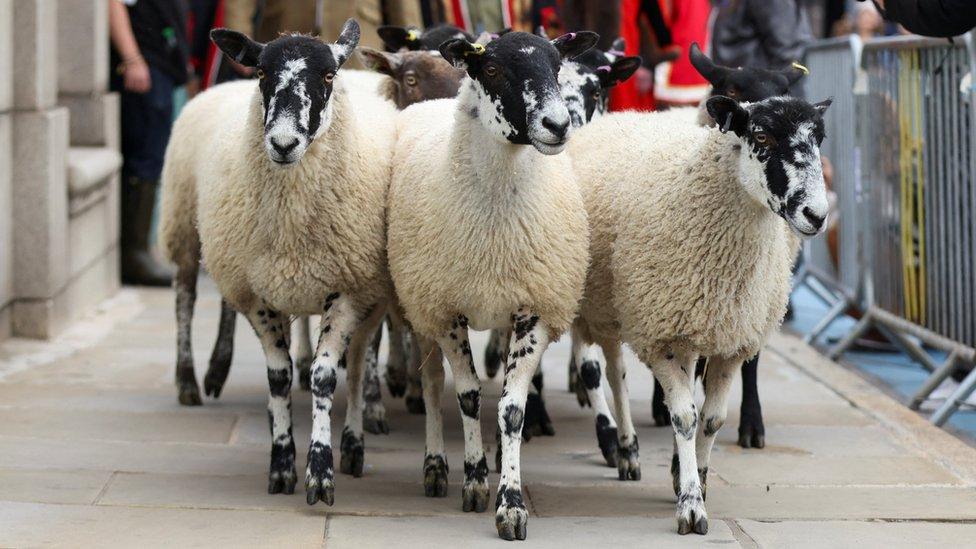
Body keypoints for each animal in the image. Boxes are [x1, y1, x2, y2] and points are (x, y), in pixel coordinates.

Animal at [166, 20, 394, 506]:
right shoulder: (257, 292)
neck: (291, 224)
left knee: (360, 359)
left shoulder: (347, 288)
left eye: (328, 76)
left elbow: (326, 376)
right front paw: (282, 463)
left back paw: (354, 444)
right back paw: (191, 380)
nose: (284, 144)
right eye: (262, 73)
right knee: (186, 297)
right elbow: (278, 377)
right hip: (188, 229)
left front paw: (320, 472)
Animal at [386, 30, 600, 540]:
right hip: (419, 303)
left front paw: (511, 503)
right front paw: (475, 482)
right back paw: (436, 466)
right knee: (430, 384)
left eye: (557, 64)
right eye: (494, 69)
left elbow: (511, 409)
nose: (557, 124)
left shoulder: (532, 309)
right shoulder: (447, 311)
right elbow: (465, 397)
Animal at [572, 95, 832, 536]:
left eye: (820, 139)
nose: (817, 215)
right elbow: (683, 418)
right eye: (761, 136)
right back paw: (621, 446)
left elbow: (710, 420)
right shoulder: (661, 334)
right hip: (595, 302)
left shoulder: (730, 341)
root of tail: (616, 118)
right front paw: (691, 506)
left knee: (619, 371)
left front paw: (694, 479)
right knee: (606, 371)